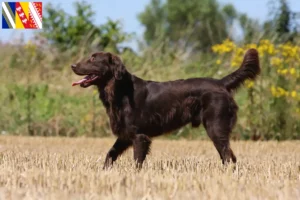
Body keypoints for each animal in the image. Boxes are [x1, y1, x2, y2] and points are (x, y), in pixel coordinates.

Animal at [71, 48, 260, 169]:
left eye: (93, 59)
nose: (72, 65)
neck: (120, 90)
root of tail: (221, 83)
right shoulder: (125, 135)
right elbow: (110, 153)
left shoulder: (139, 136)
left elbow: (137, 162)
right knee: (228, 156)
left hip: (216, 127)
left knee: (228, 156)